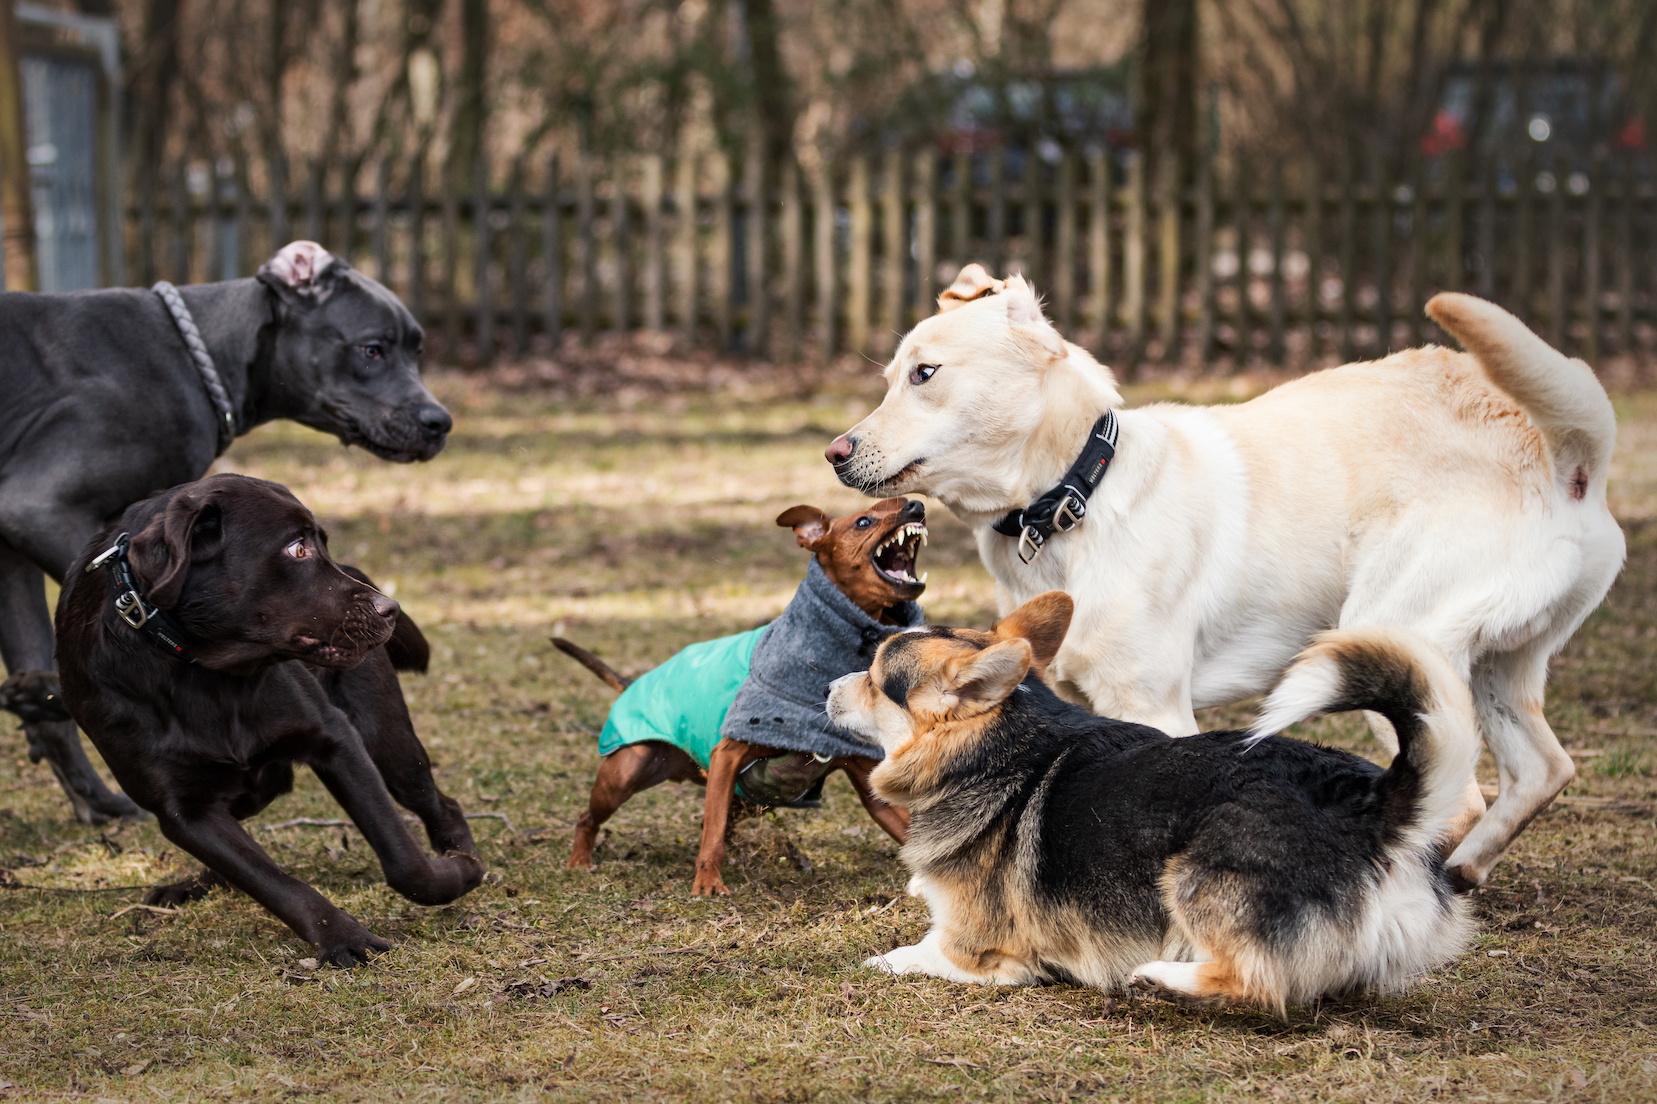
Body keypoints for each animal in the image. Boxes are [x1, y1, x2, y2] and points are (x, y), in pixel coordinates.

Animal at [550, 497, 927, 895]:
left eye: (906, 501)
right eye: (863, 522)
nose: (916, 505)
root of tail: (634, 683)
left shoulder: (863, 779)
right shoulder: (726, 756)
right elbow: (712, 835)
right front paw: (708, 883)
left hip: (741, 796)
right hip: (625, 772)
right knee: (588, 817)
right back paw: (579, 860)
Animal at [821, 265, 1623, 888]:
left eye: (925, 374)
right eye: (890, 378)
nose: (835, 452)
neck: (1077, 494)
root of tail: (1563, 455)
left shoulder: (1153, 709)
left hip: (1390, 639)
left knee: (1460, 802)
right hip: (1496, 669)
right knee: (1543, 770)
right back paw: (1464, 874)